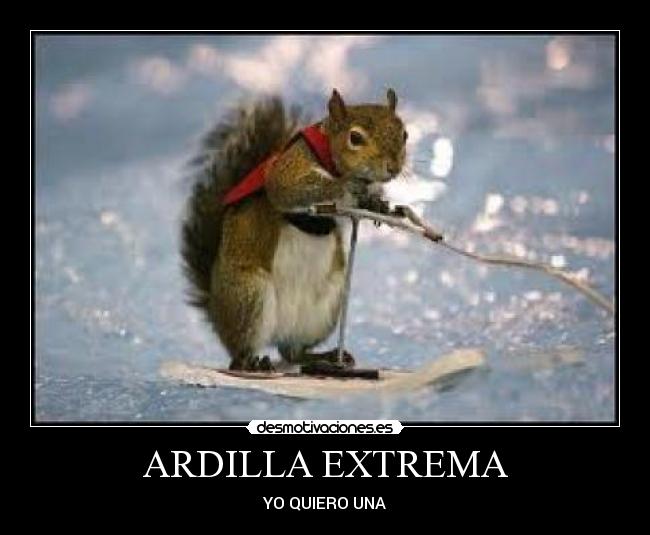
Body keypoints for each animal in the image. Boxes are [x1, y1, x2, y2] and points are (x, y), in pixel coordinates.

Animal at [181, 89, 407, 371]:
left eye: (404, 133)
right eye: (355, 138)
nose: (393, 168)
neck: (330, 158)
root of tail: (215, 309)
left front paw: (377, 204)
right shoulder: (290, 169)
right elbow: (289, 189)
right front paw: (345, 184)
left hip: (325, 309)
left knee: (293, 353)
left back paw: (325, 357)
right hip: (249, 297)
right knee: (240, 353)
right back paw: (251, 363)